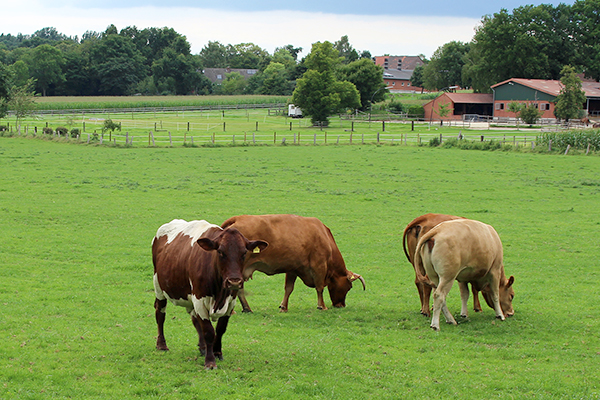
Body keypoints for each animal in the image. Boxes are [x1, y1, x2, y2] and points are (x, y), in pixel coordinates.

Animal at [152, 219, 268, 368]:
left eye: (244, 253)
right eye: (220, 252)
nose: (234, 281)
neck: (220, 293)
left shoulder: (230, 302)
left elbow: (220, 329)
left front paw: (217, 352)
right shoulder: (199, 300)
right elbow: (208, 331)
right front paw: (210, 361)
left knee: (194, 318)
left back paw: (202, 348)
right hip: (158, 287)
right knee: (160, 313)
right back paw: (161, 345)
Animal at [218, 216, 364, 312]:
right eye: (349, 287)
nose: (341, 305)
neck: (324, 235)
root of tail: (238, 218)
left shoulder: (293, 269)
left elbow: (288, 289)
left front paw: (284, 307)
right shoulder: (319, 266)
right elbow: (320, 287)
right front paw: (321, 306)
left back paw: (245, 308)